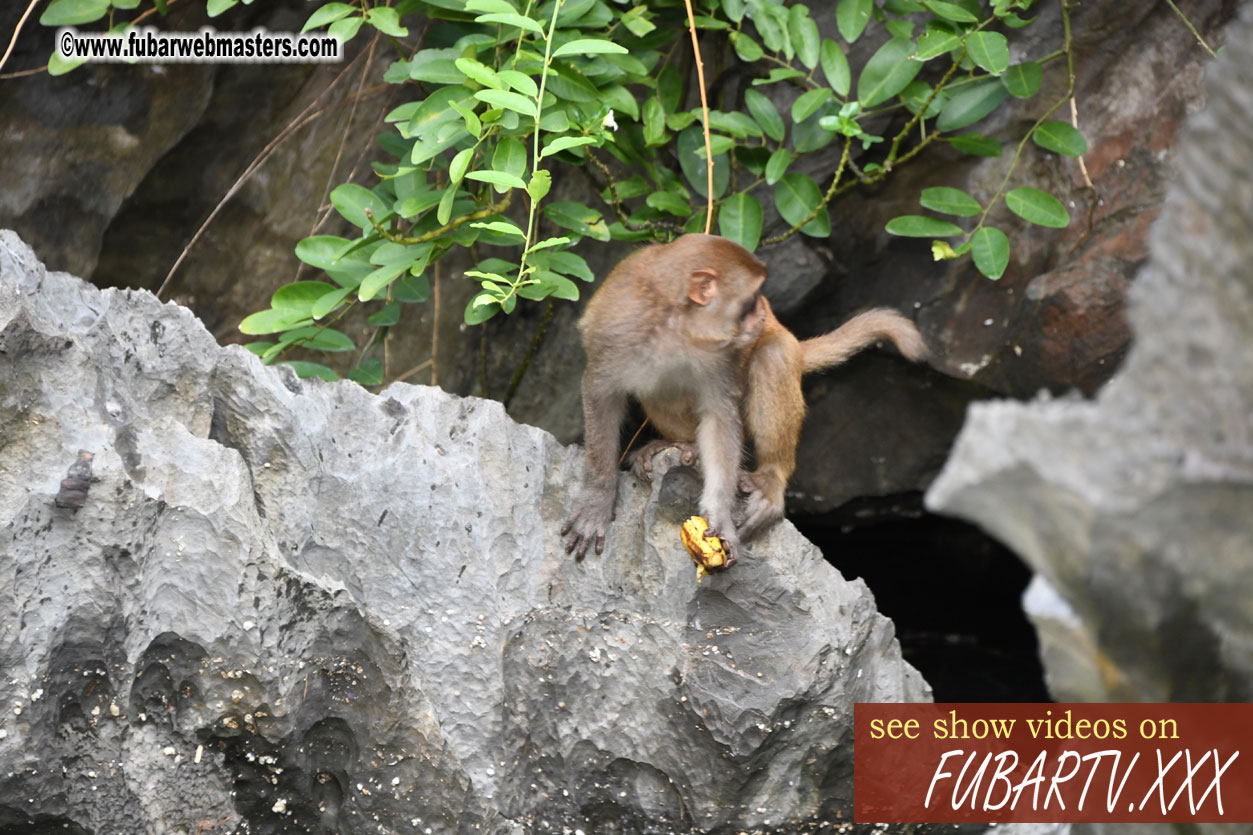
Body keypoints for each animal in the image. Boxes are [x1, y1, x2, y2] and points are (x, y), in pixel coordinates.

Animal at [563, 230, 927, 561]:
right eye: (750, 299)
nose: (764, 312)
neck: (676, 327)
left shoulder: (721, 356)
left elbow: (720, 418)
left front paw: (720, 516)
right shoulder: (616, 329)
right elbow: (600, 394)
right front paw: (598, 497)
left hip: (779, 349)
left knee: (772, 357)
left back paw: (771, 479)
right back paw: (680, 444)